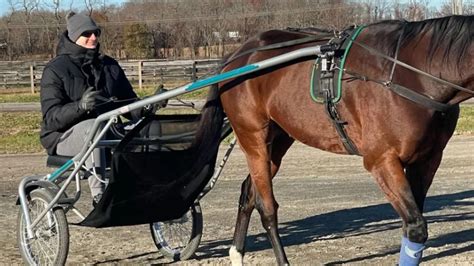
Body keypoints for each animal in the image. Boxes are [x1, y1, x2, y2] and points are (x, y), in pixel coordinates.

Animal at [198, 15, 472, 264]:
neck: (411, 74)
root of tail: (236, 57)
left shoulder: (427, 160)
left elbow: (412, 225)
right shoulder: (382, 160)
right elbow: (416, 227)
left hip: (278, 141)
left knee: (248, 192)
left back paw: (237, 253)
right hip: (253, 137)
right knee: (266, 208)